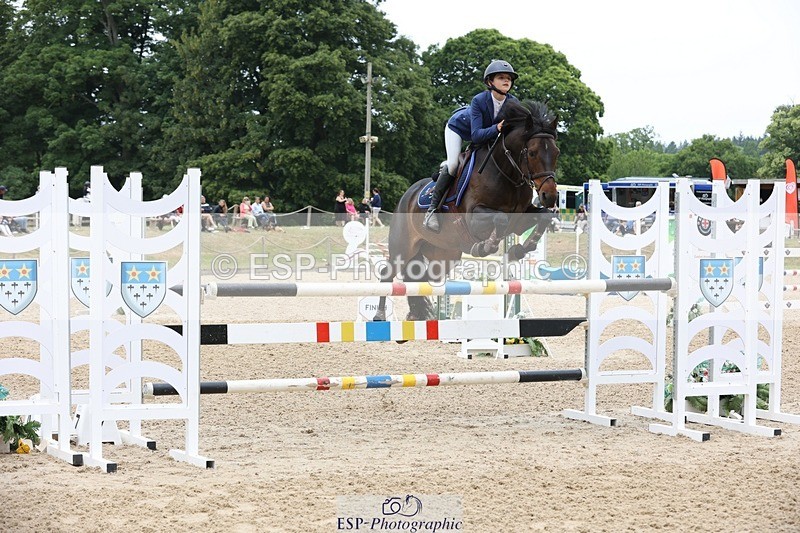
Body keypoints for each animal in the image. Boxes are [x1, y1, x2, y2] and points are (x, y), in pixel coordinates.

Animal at [375, 99, 560, 321]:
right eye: (531, 153)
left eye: (556, 153)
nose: (550, 196)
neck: (507, 174)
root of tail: (407, 195)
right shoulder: (474, 217)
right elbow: (500, 219)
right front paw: (485, 247)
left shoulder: (521, 219)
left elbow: (543, 217)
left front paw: (520, 249)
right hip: (402, 246)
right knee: (388, 274)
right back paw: (379, 315)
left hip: (444, 254)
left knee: (422, 278)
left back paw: (417, 314)